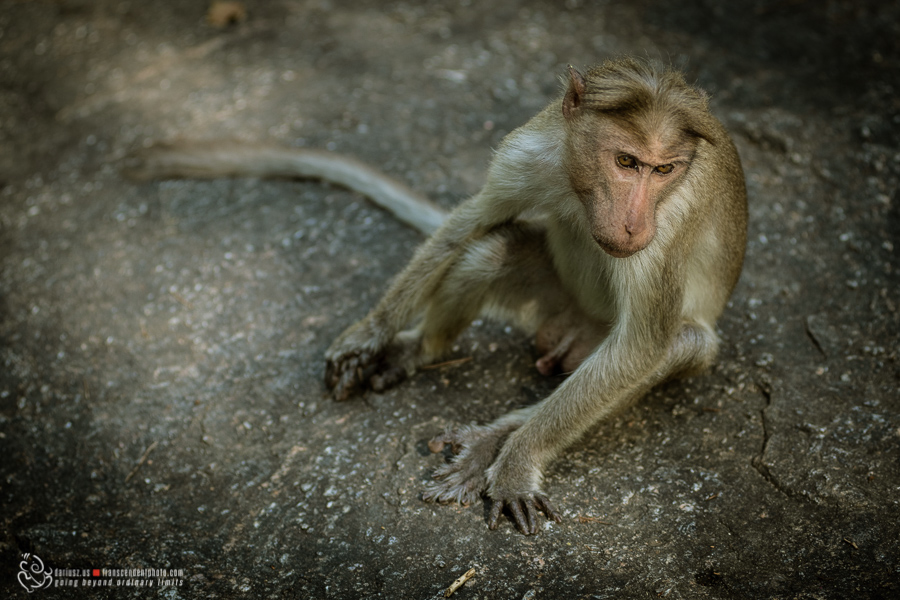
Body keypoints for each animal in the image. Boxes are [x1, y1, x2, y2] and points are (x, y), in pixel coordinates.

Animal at [126, 57, 744, 536]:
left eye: (664, 170)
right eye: (627, 162)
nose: (635, 224)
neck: (580, 185)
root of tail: (575, 331)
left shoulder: (669, 220)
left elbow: (642, 345)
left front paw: (517, 462)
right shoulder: (531, 151)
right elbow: (469, 223)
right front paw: (370, 333)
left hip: (612, 336)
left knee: (669, 345)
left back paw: (497, 440)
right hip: (551, 302)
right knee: (490, 251)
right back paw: (417, 351)